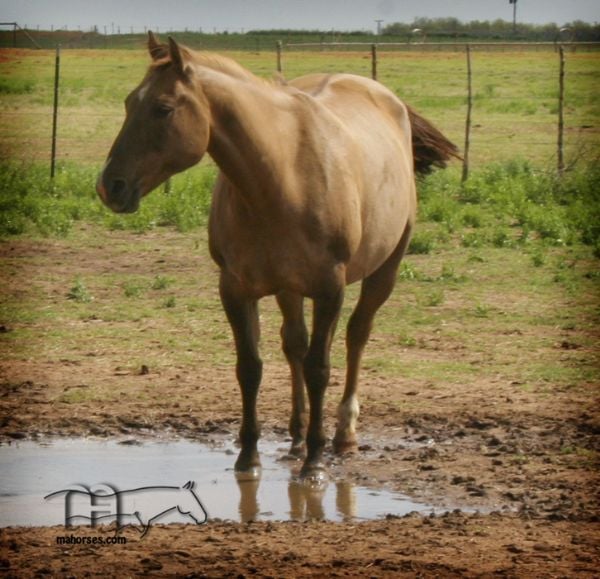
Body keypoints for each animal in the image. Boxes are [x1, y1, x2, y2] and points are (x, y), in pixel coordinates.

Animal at [96, 31, 458, 480]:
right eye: (130, 102)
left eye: (163, 109)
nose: (110, 186)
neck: (282, 177)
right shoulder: (235, 289)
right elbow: (250, 367)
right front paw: (249, 456)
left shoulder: (329, 288)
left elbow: (320, 368)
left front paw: (315, 462)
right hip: (289, 288)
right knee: (295, 345)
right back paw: (297, 436)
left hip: (383, 270)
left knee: (356, 335)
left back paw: (343, 434)